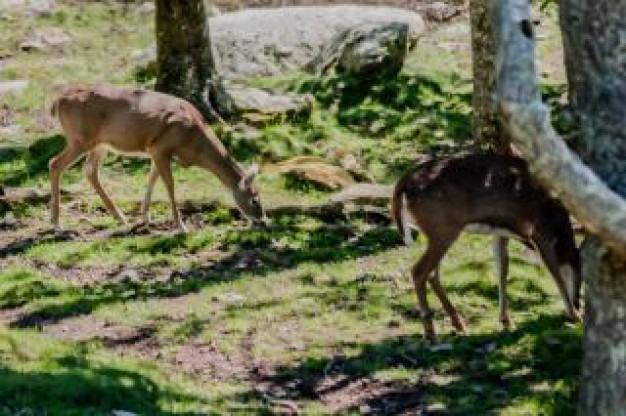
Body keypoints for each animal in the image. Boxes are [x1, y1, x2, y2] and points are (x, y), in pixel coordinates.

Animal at [390, 153, 580, 342]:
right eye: (582, 275)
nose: (578, 302)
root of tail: (404, 182)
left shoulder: (500, 233)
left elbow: (502, 270)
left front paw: (505, 320)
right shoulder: (539, 232)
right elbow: (555, 272)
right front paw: (574, 315)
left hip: (438, 233)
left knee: (432, 274)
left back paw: (458, 324)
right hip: (443, 229)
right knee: (419, 271)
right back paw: (431, 333)